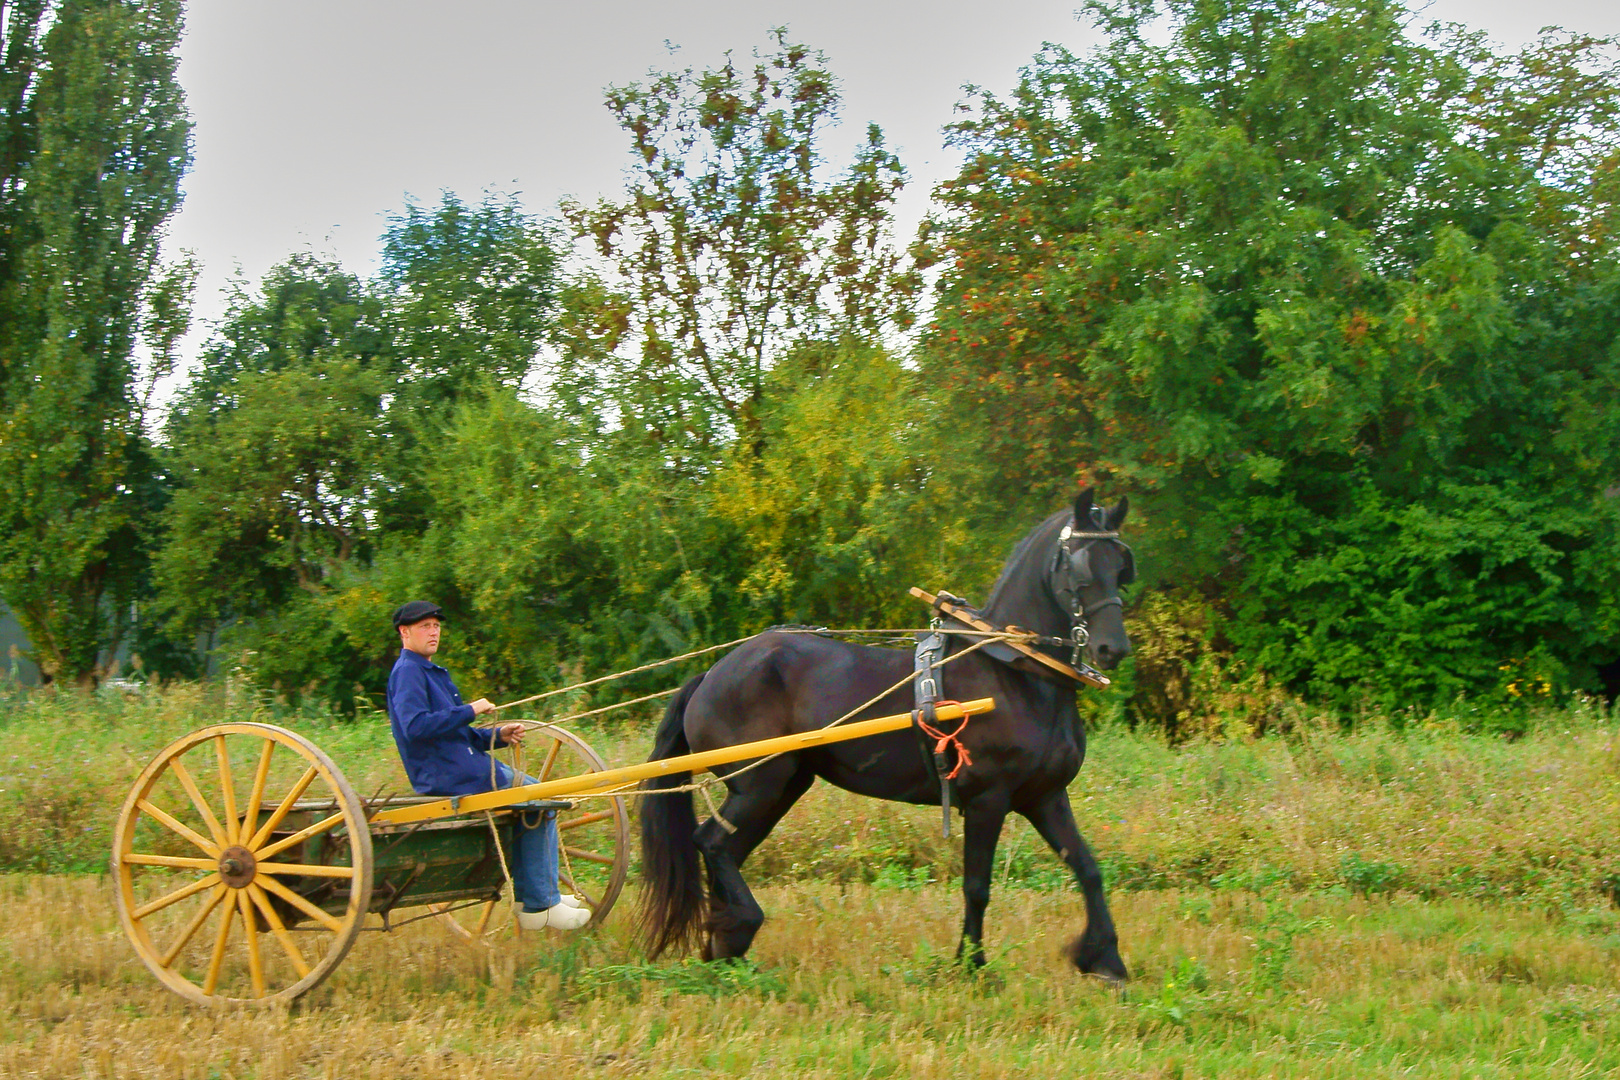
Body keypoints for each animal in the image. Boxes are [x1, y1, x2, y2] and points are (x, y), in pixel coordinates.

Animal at [638, 488, 1134, 977]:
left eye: (1120, 566)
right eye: (1081, 566)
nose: (1113, 648)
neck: (1016, 672)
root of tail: (711, 674)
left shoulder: (1045, 796)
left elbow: (1088, 868)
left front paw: (1105, 958)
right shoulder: (987, 798)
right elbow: (977, 885)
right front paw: (971, 965)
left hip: (783, 785)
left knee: (726, 850)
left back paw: (725, 943)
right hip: (759, 783)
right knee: (712, 844)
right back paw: (739, 927)